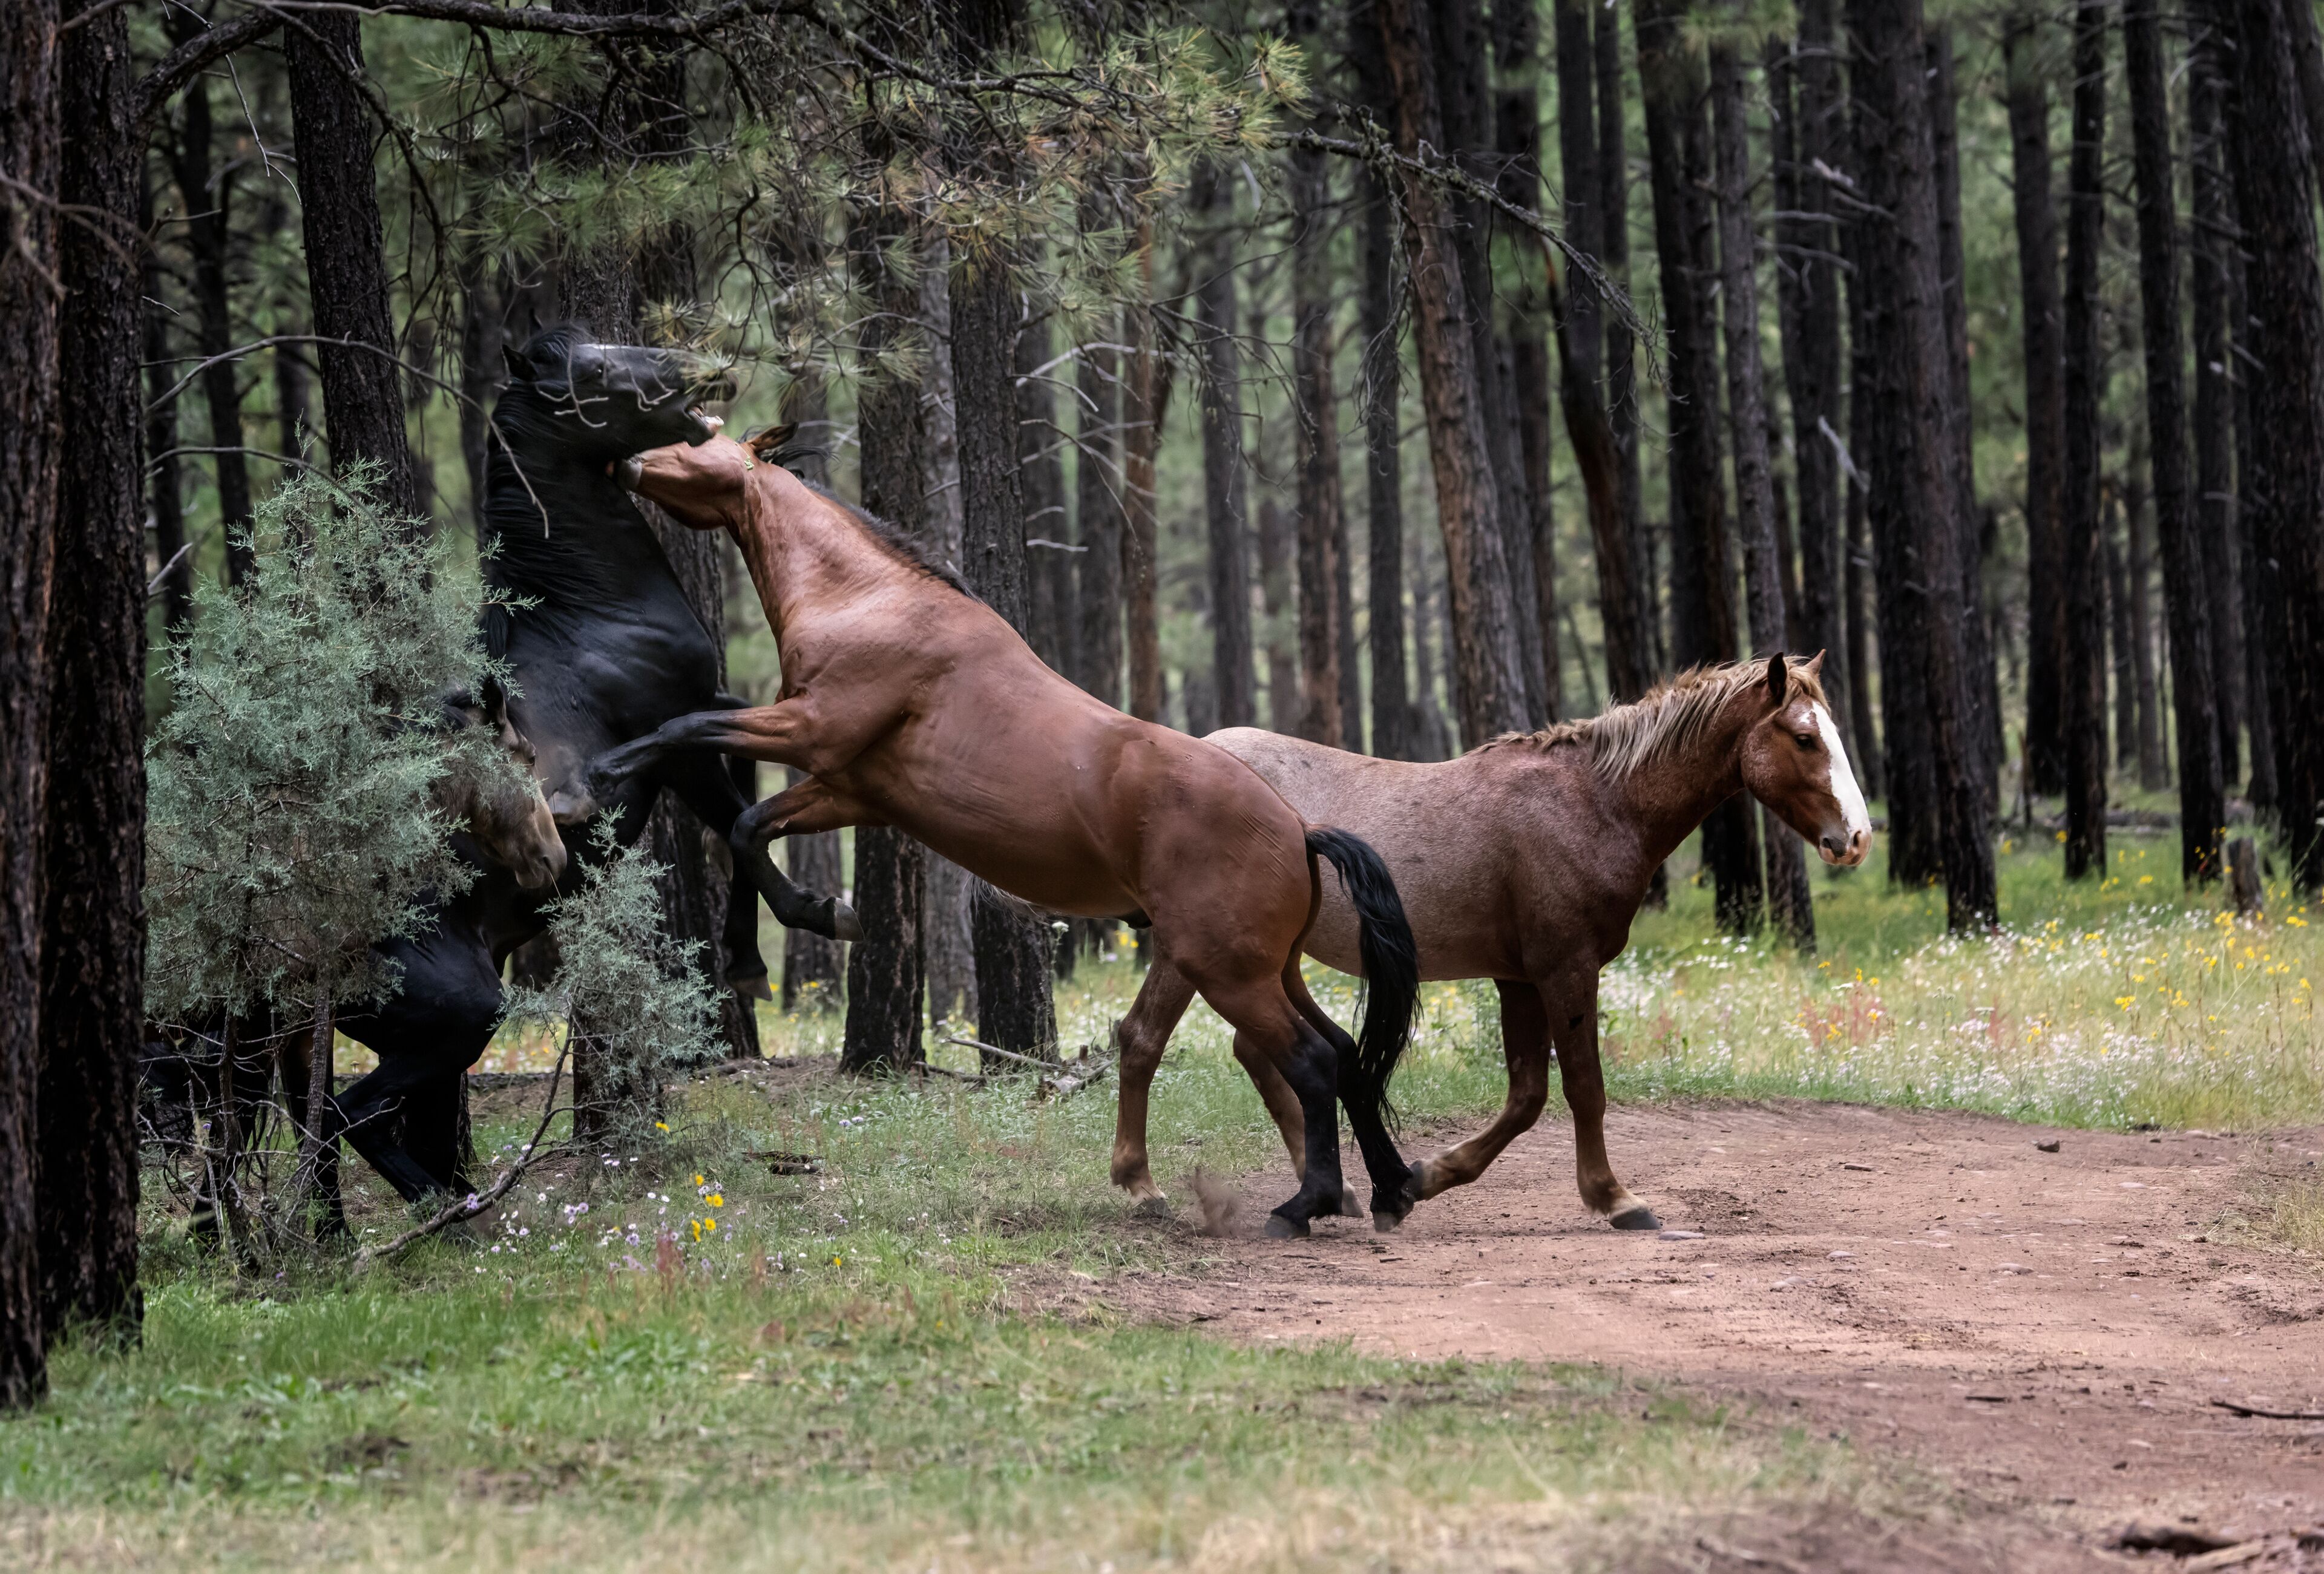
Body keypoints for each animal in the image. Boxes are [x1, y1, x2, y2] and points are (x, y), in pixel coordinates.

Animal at [315, 326, 857, 1212]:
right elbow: (737, 824)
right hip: (462, 1011)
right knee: (351, 1115)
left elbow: (740, 811)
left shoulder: (714, 710)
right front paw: (802, 923)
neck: (591, 613)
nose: (694, 366)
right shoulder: (683, 741)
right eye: (592, 372)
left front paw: (744, 956)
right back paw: (453, 1215)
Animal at [564, 423, 1426, 1236]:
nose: (623, 462)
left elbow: (685, 730)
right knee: (1342, 1054)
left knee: (1309, 1063)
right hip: (1268, 970)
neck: (869, 599)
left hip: (1227, 971)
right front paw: (779, 940)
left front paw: (591, 783)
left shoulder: (808, 731)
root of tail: (1299, 831)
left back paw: (1303, 1204)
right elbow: (745, 829)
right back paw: (1384, 1191)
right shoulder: (849, 788)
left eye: (696, 434)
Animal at [1109, 654, 1873, 1233]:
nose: (1857, 838)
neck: (1595, 804)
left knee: (1265, 1054)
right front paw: (1615, 1198)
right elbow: (1583, 1089)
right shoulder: (1565, 971)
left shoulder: (1520, 980)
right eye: (1804, 738)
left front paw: (1419, 1180)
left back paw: (1333, 1191)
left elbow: (1527, 1097)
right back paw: (1143, 1187)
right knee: (1145, 1039)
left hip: (1266, 958)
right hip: (1198, 954)